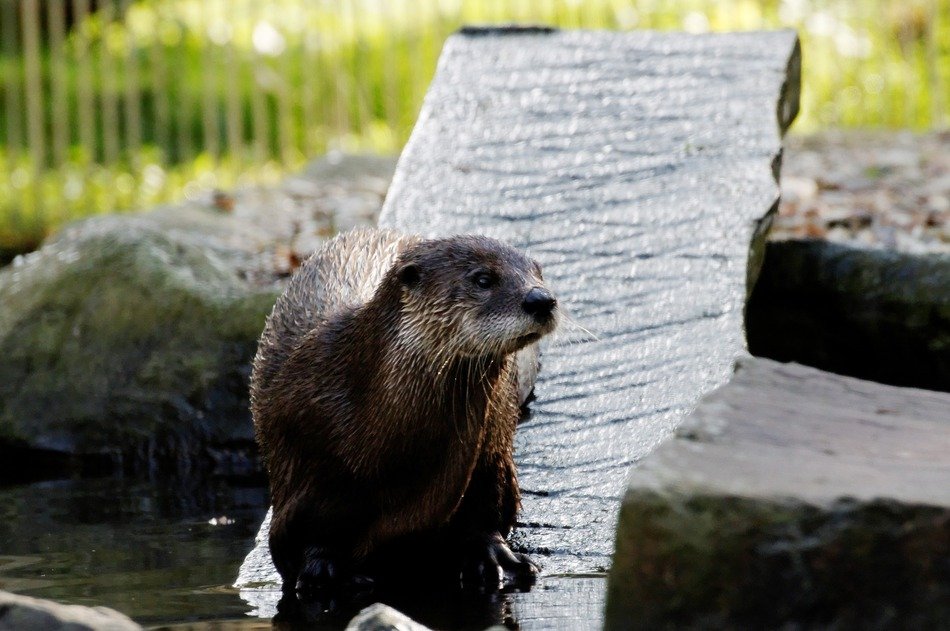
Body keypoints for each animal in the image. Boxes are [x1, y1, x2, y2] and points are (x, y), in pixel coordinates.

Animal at [250, 227, 558, 594]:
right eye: (483, 279)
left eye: (538, 273)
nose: (541, 299)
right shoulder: (302, 469)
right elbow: (302, 540)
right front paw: (324, 570)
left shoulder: (490, 452)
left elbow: (487, 512)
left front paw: (495, 554)